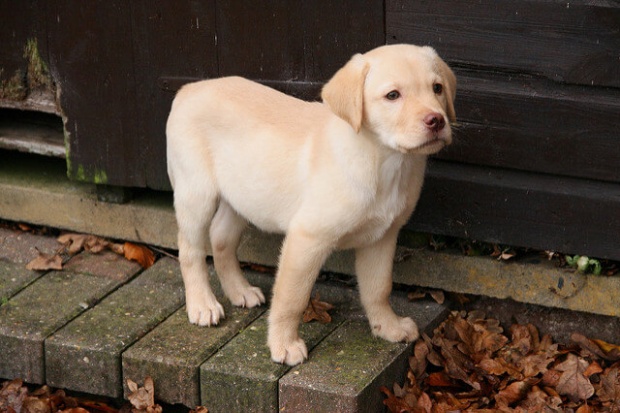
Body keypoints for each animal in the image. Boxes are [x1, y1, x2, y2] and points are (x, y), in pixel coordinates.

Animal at [165, 43, 456, 364]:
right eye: (393, 95)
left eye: (437, 88)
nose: (436, 120)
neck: (384, 160)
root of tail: (190, 88)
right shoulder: (307, 238)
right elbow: (292, 298)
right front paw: (283, 345)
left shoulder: (382, 237)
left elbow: (379, 288)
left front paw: (388, 327)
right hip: (196, 193)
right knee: (190, 249)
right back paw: (202, 304)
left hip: (242, 195)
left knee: (221, 239)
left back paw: (239, 290)